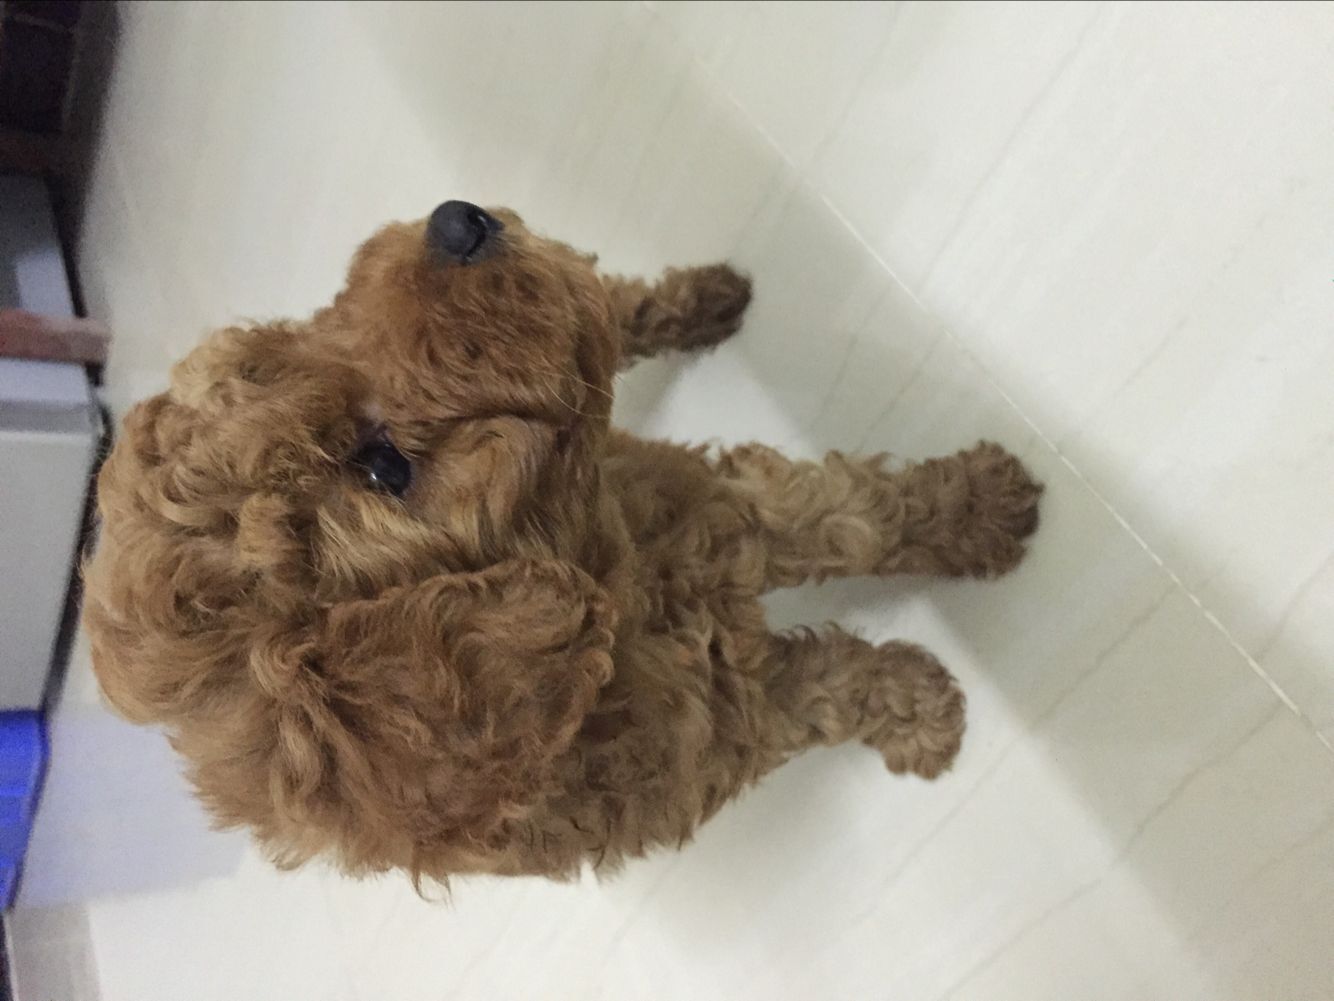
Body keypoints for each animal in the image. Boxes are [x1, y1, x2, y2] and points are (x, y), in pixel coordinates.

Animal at [83, 201, 1041, 883]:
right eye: (384, 466)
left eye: (315, 338)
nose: (454, 220)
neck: (616, 583)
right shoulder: (729, 721)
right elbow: (828, 685)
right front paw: (927, 709)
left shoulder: (713, 511)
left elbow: (852, 511)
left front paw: (989, 505)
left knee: (599, 293)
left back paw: (707, 294)